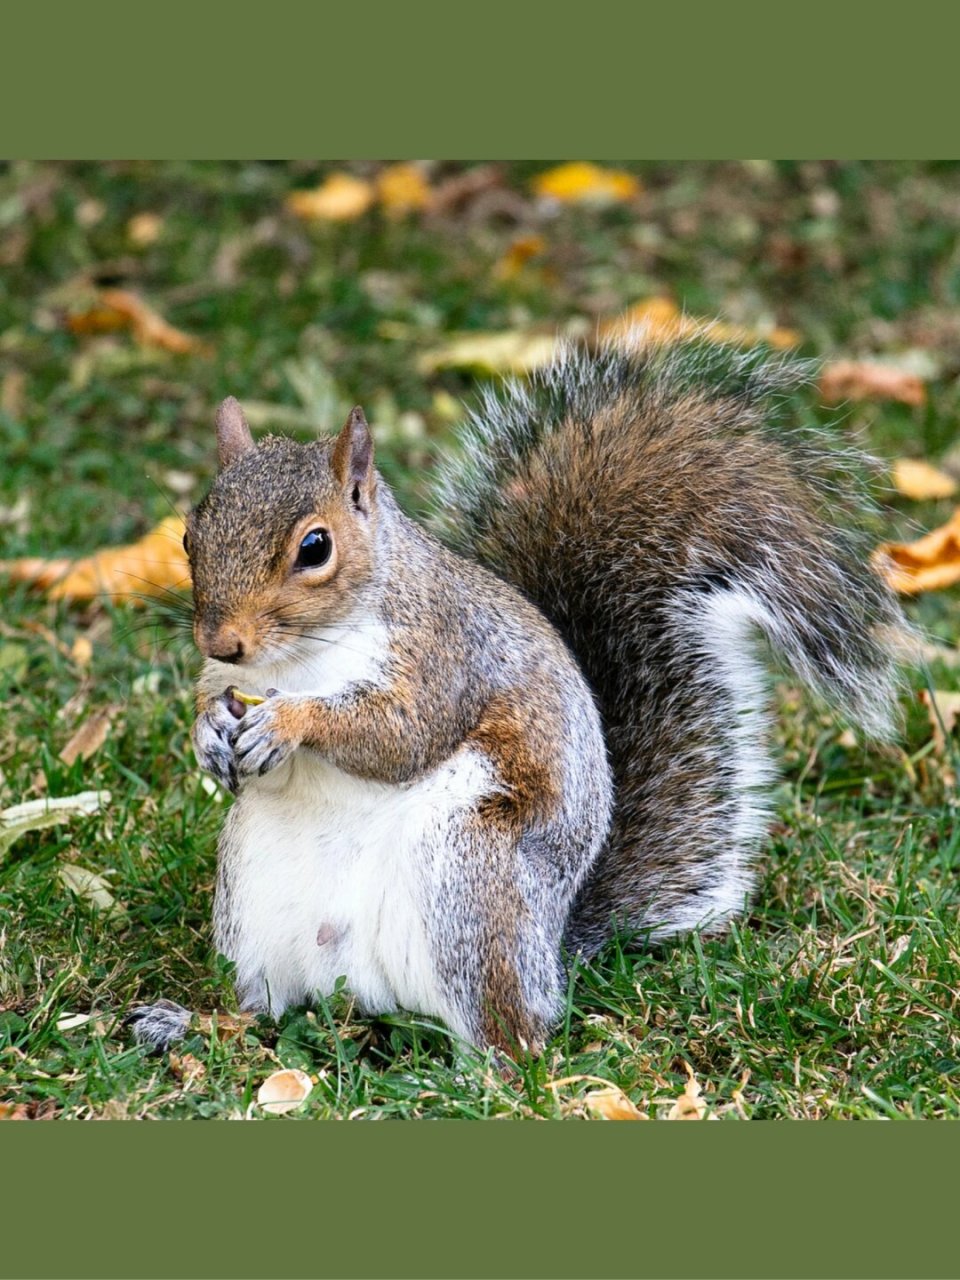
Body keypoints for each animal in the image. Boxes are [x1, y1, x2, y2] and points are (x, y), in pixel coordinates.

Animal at [128, 336, 907, 1057]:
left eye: (315, 547)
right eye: (190, 536)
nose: (221, 641)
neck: (296, 659)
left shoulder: (446, 656)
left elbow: (400, 734)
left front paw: (289, 722)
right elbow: (216, 702)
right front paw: (207, 733)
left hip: (472, 879)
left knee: (514, 1034)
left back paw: (482, 1072)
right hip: (253, 900)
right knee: (267, 1009)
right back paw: (189, 1021)